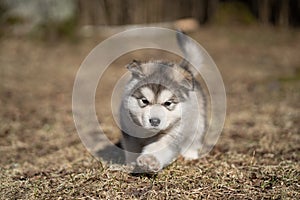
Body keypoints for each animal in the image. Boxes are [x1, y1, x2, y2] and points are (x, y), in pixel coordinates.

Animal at [119, 31, 206, 172]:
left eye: (168, 103)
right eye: (144, 101)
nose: (155, 121)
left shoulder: (173, 133)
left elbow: (158, 146)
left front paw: (149, 160)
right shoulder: (129, 130)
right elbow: (131, 147)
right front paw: (131, 164)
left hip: (198, 122)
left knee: (195, 138)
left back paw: (190, 155)